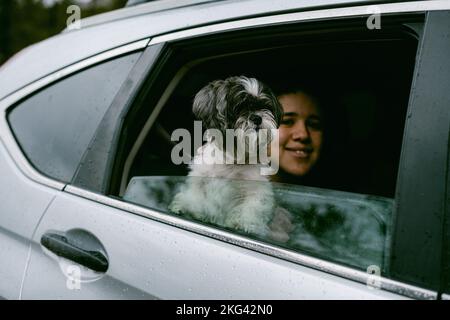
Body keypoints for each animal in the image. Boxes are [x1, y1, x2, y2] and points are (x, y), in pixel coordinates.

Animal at [167, 75, 284, 238]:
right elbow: (195, 195)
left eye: (265, 107)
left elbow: (252, 207)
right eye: (240, 107)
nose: (257, 118)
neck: (232, 159)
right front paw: (188, 207)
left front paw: (245, 224)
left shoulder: (256, 190)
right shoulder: (201, 178)